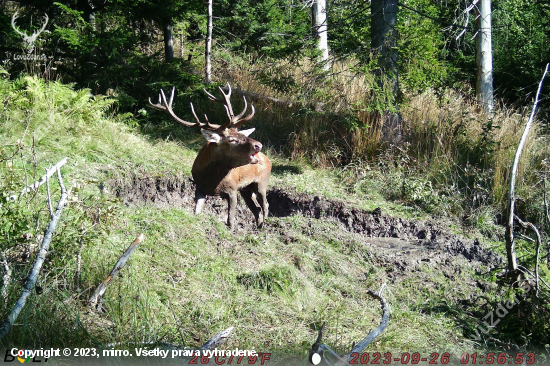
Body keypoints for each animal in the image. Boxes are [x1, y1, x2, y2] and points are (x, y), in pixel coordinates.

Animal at [149, 83, 272, 229]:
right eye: (232, 140)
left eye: (242, 135)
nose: (258, 145)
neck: (212, 180)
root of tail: (269, 160)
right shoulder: (199, 187)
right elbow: (196, 212)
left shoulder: (233, 189)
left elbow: (230, 220)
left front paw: (231, 230)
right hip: (246, 189)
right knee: (257, 208)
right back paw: (258, 227)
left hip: (262, 183)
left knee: (265, 205)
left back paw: (264, 227)